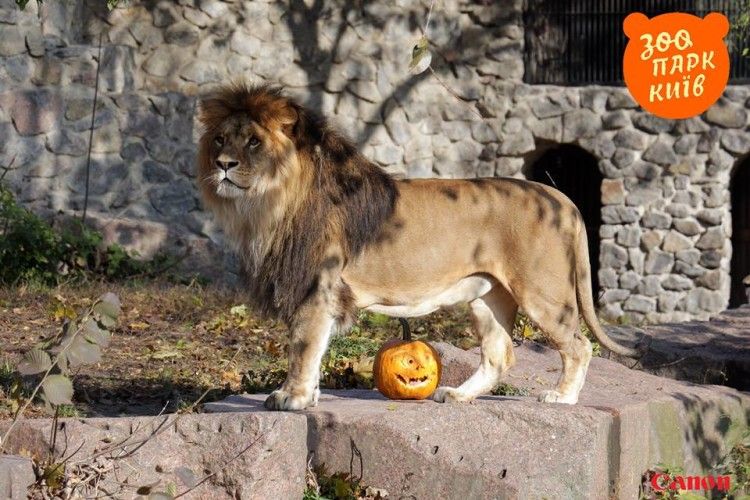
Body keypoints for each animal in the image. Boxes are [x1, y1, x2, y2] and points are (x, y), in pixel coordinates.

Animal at [196, 83, 640, 411]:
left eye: (253, 142)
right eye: (219, 139)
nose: (223, 164)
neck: (267, 205)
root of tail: (559, 197)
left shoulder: (315, 288)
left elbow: (303, 346)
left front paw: (292, 397)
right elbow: (317, 349)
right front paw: (311, 397)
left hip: (542, 291)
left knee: (579, 346)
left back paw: (562, 397)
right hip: (488, 296)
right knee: (500, 354)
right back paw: (458, 395)